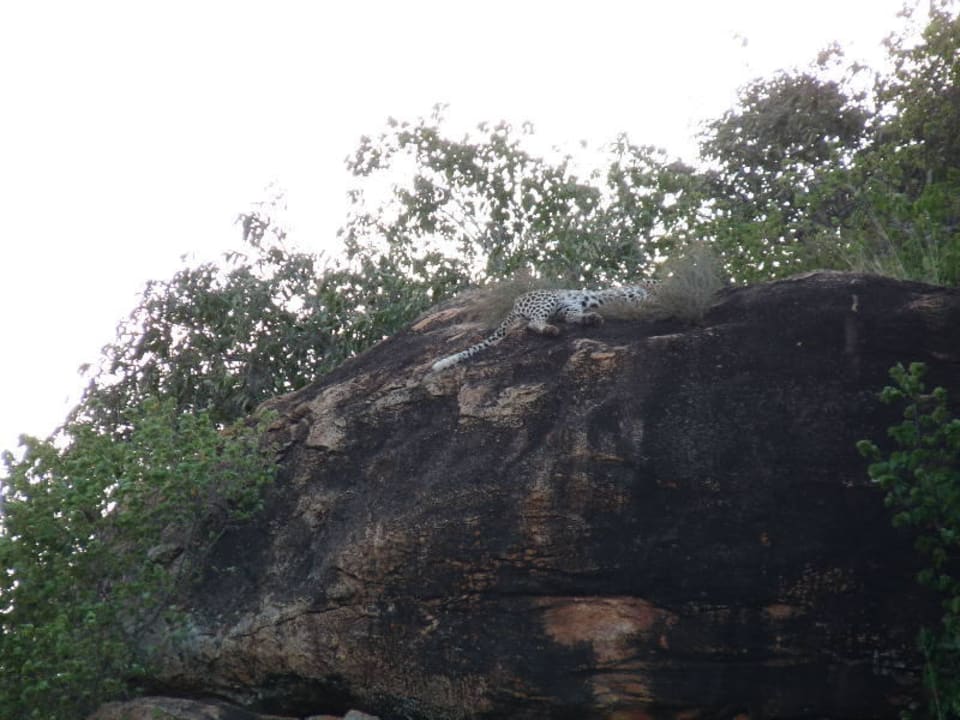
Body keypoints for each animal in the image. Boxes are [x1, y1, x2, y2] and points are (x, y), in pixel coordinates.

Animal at [430, 281, 659, 372]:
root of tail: (515, 303)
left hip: (568, 306)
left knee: (571, 318)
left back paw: (591, 319)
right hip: (548, 299)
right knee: (534, 323)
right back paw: (552, 330)